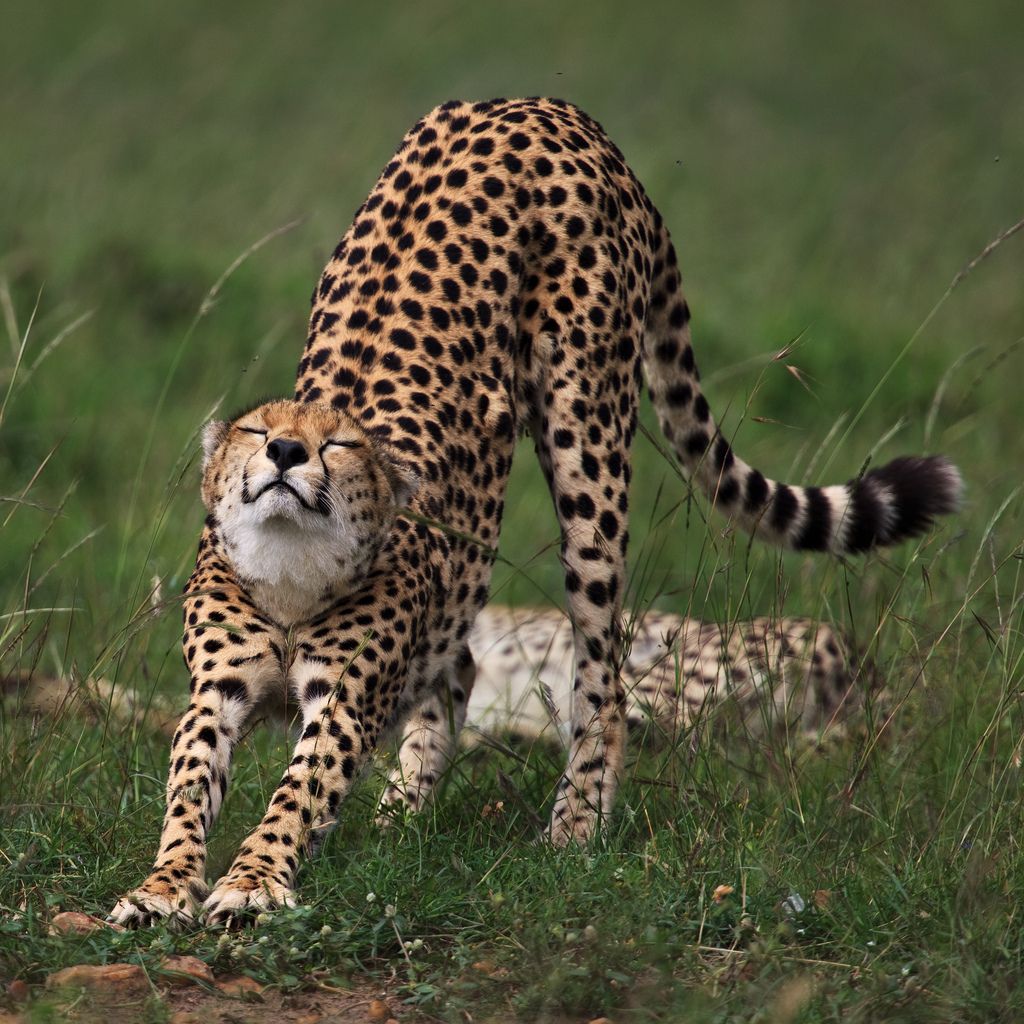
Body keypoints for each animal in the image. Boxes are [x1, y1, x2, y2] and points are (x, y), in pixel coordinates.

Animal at [109, 97, 960, 927]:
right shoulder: (216, 694)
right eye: (258, 431)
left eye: (340, 444)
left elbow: (296, 790)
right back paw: (400, 818)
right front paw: (163, 887)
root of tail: (541, 107)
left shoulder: (343, 699)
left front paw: (254, 881)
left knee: (602, 680)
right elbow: (187, 794)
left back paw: (574, 823)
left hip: (588, 447)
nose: (286, 452)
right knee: (459, 669)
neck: (290, 572)